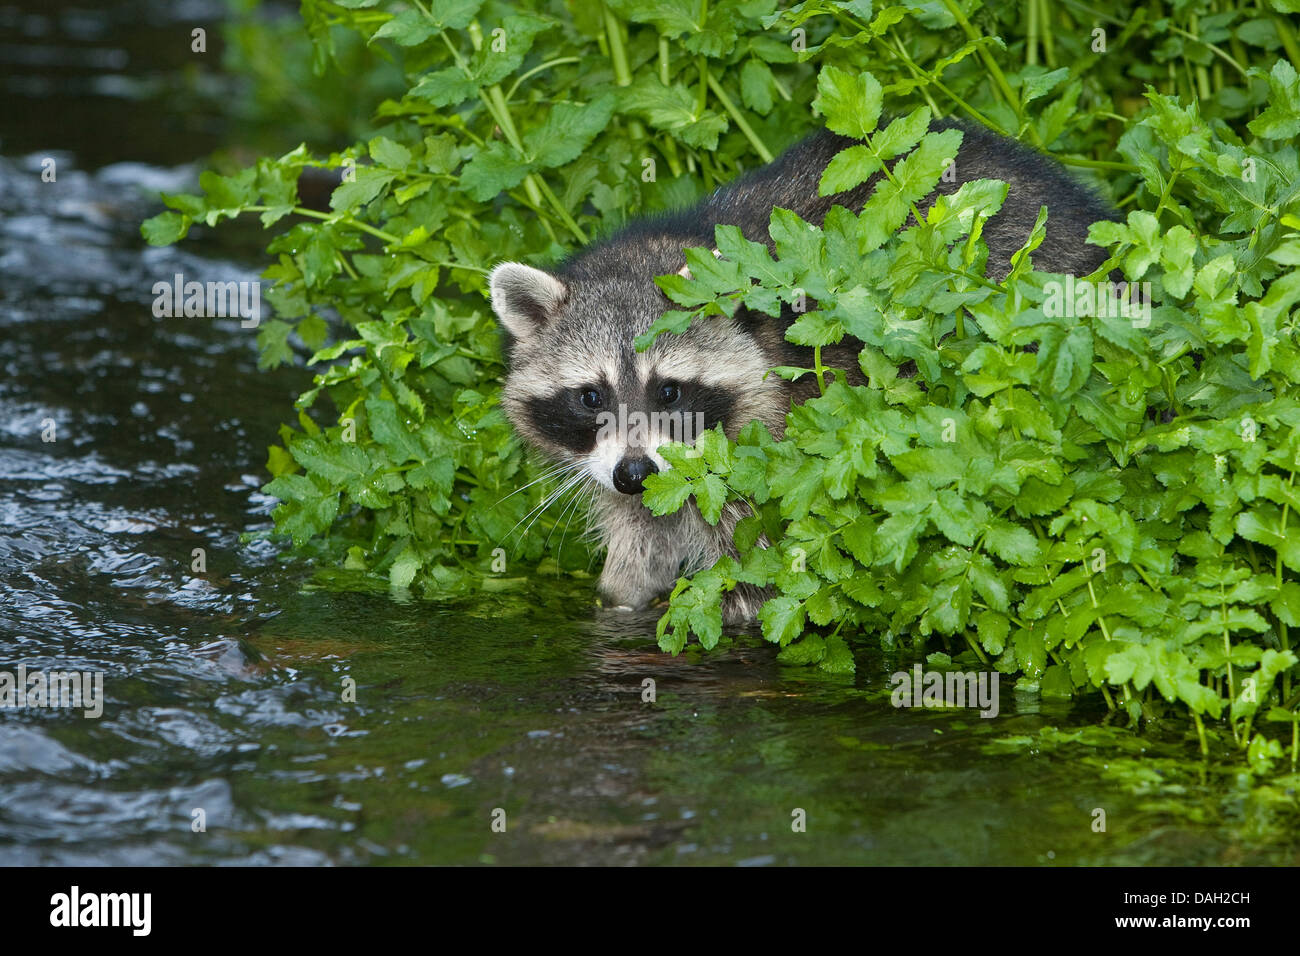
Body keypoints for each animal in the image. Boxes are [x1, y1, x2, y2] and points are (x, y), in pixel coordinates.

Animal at [488, 119, 1118, 624]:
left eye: (668, 391)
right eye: (591, 397)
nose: (635, 473)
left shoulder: (773, 449)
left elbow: (757, 573)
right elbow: (638, 543)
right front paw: (621, 598)